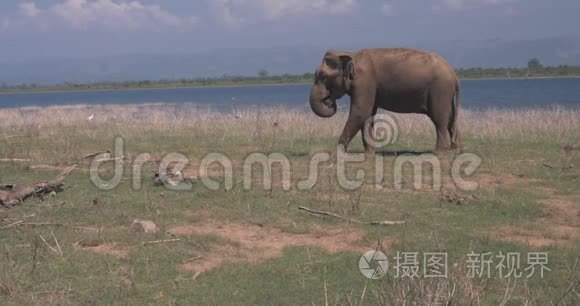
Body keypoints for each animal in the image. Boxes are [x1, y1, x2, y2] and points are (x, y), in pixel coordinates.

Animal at [308, 48, 462, 154]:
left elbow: (360, 112)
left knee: (439, 119)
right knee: (450, 118)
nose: (328, 100)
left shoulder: (365, 81)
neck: (352, 54)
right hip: (445, 93)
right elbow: (368, 115)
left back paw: (439, 152)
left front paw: (335, 154)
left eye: (323, 77)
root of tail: (454, 75)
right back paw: (455, 149)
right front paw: (369, 154)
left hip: (440, 90)